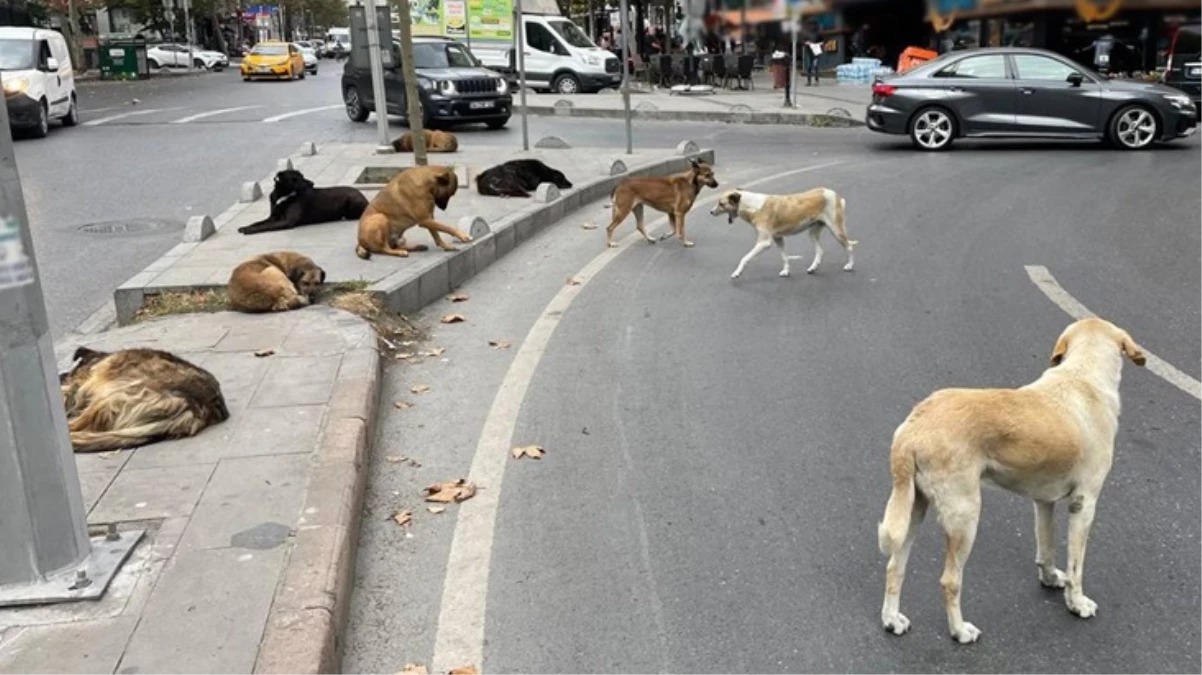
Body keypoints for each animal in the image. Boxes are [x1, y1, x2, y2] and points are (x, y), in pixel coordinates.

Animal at [234, 169, 365, 235]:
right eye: (295, 179)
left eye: (302, 176)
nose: (312, 183)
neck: (283, 195)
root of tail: (363, 196)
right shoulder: (273, 217)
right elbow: (258, 223)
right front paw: (246, 227)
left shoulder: (287, 221)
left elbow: (265, 226)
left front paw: (250, 230)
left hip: (352, 202)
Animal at [711, 184, 855, 277]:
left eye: (721, 204)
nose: (711, 212)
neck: (751, 206)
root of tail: (835, 194)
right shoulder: (778, 238)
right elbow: (785, 257)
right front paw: (786, 271)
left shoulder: (764, 243)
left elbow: (744, 258)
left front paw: (737, 272)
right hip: (813, 233)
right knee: (820, 251)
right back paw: (813, 268)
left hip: (836, 230)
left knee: (849, 246)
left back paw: (849, 266)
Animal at [879, 317, 1149, 643]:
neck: (1082, 376)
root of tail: (913, 428)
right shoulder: (1084, 504)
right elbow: (1076, 567)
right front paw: (1077, 603)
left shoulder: (1043, 502)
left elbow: (1045, 548)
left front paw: (1050, 579)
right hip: (965, 517)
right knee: (949, 581)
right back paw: (960, 631)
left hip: (913, 510)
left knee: (895, 566)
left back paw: (892, 620)